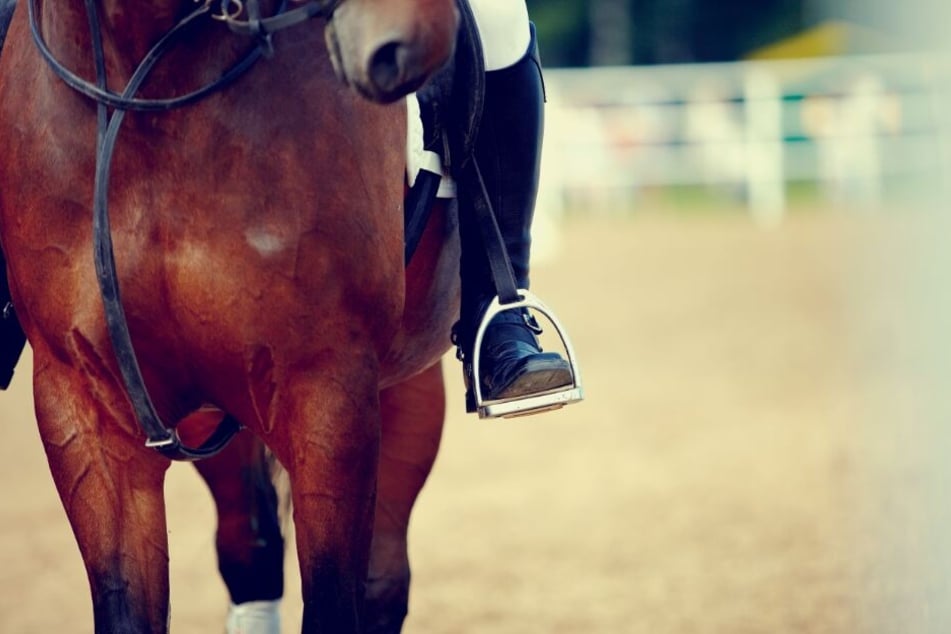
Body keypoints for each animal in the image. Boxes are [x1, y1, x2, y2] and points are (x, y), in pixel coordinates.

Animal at [0, 0, 464, 628]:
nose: (410, 41)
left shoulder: (329, 390)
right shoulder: (83, 406)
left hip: (402, 387)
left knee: (380, 581)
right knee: (252, 551)